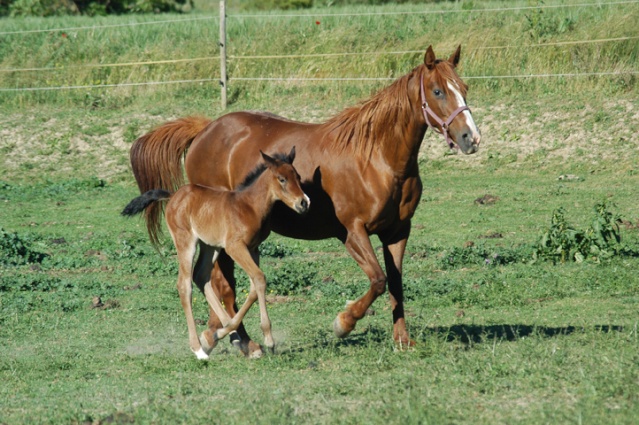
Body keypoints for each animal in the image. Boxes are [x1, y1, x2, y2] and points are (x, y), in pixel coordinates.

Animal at [130, 45, 480, 358]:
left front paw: (402, 340)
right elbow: (378, 280)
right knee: (223, 283)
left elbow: (395, 283)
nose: (471, 139)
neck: (377, 158)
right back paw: (240, 341)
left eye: (464, 89)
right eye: (437, 91)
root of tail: (206, 129)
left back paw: (220, 334)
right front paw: (343, 322)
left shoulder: (397, 231)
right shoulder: (353, 232)